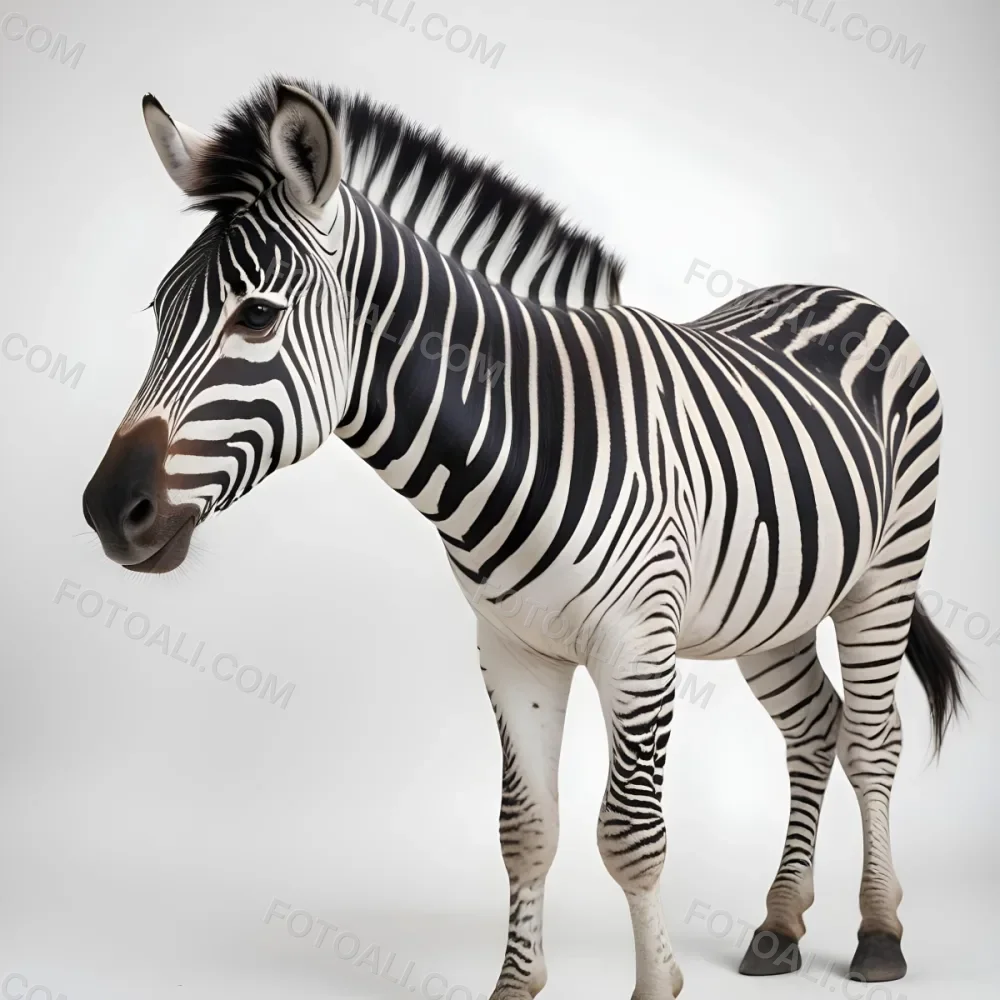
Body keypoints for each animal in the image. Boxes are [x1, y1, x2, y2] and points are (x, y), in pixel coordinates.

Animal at [82, 77, 969, 999]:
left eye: (256, 317)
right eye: (158, 310)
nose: (109, 509)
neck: (526, 441)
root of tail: (841, 291)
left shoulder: (637, 647)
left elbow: (631, 836)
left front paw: (657, 985)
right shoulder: (513, 650)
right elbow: (525, 829)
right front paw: (516, 983)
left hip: (884, 576)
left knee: (873, 739)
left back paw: (878, 934)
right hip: (774, 607)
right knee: (815, 729)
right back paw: (779, 924)